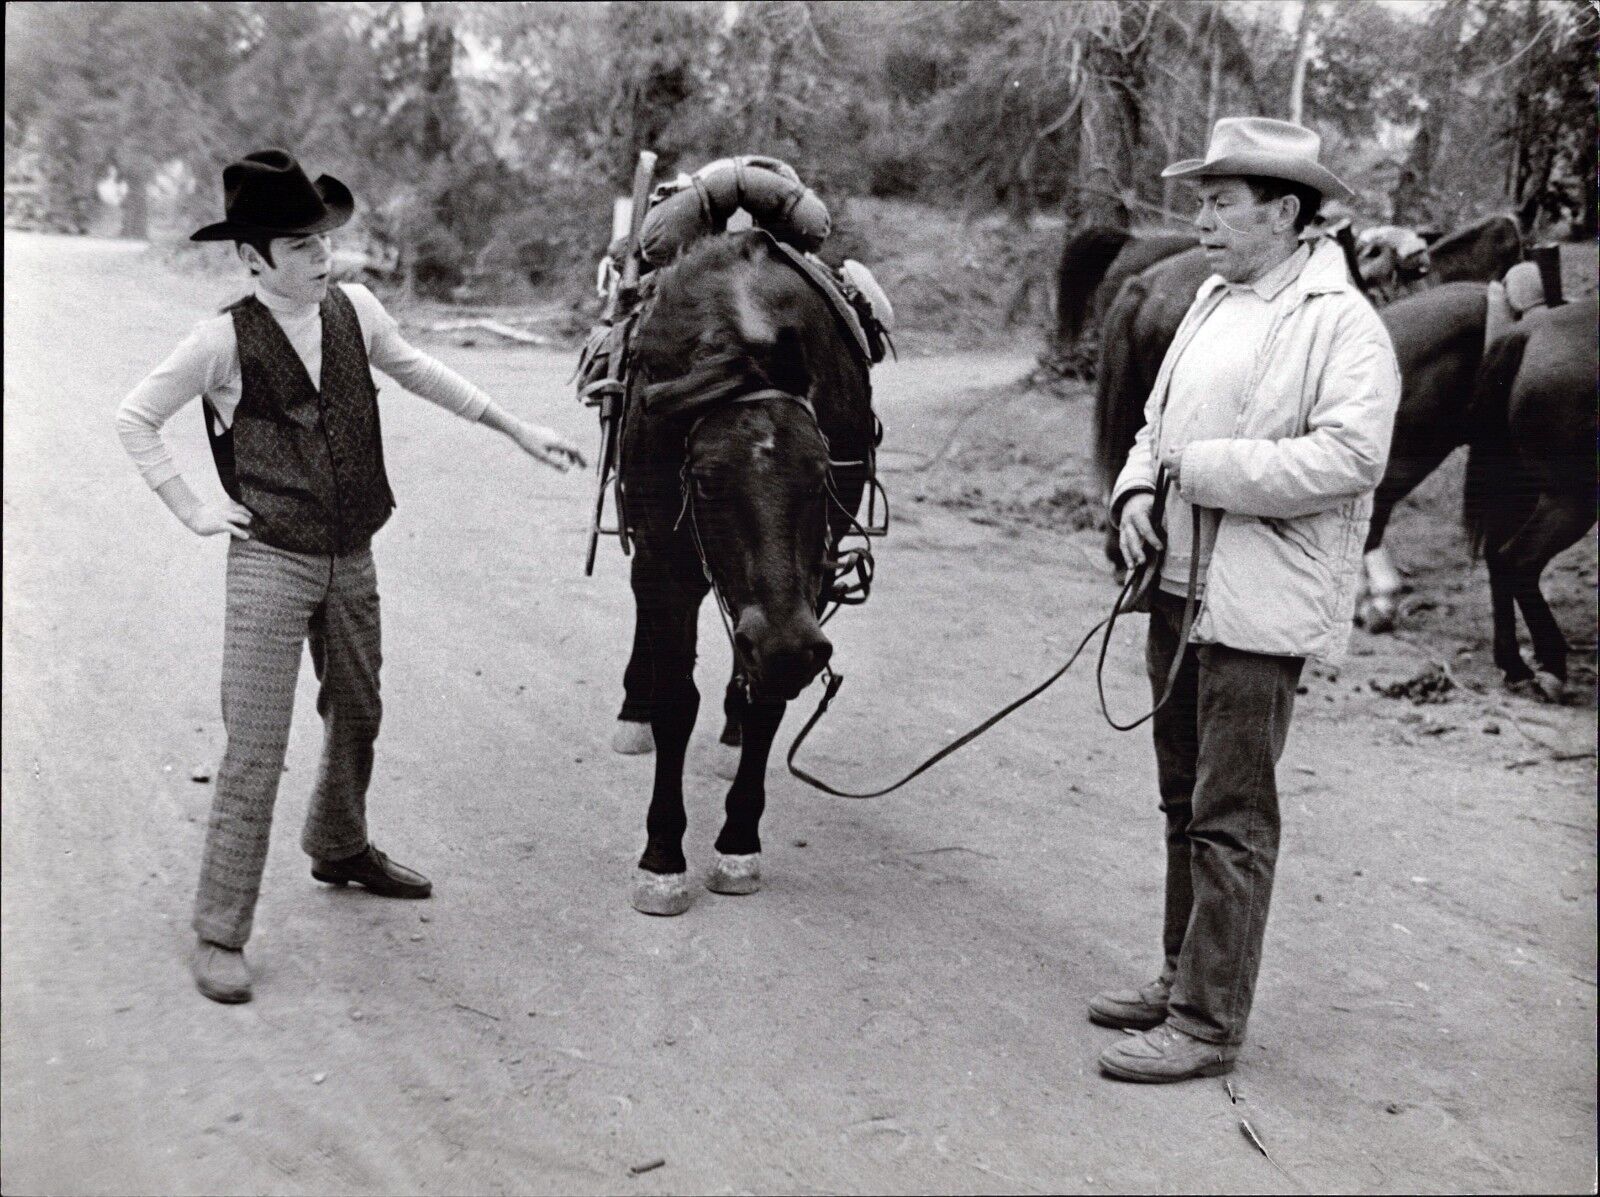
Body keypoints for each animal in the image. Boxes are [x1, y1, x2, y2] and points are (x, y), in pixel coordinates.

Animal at [614, 228, 870, 908]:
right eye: (706, 481)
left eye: (821, 476)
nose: (785, 646)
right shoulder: (665, 559)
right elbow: (676, 698)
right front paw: (662, 855)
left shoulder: (807, 588)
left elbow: (768, 704)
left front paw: (736, 845)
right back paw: (632, 711)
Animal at [1465, 292, 1600, 697]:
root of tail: (1528, 331)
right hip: (1571, 500)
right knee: (1518, 560)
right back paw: (1551, 666)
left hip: (1522, 488)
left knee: (1496, 557)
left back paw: (1514, 665)